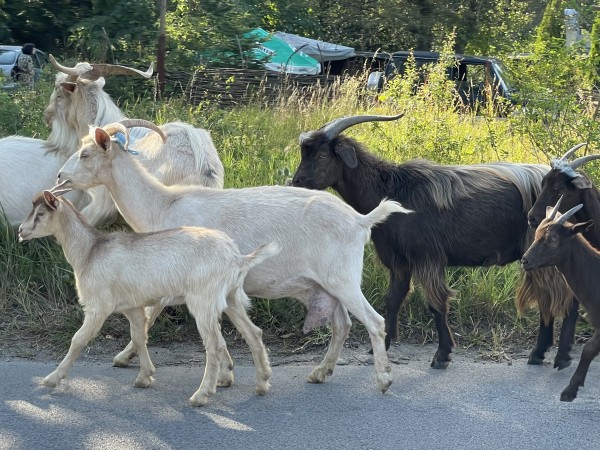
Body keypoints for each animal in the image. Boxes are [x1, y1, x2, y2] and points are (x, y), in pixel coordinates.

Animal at [18, 188, 278, 406]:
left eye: (40, 213)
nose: (21, 231)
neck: (90, 252)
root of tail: (237, 257)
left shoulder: (98, 306)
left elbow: (78, 339)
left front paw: (52, 378)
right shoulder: (132, 306)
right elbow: (139, 336)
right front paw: (145, 376)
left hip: (203, 300)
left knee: (214, 345)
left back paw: (201, 395)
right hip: (231, 298)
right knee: (253, 333)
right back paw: (262, 383)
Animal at [57, 120, 412, 394]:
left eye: (86, 154)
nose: (60, 177)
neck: (163, 205)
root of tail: (360, 220)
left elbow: (149, 316)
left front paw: (125, 357)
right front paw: (225, 373)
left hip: (343, 278)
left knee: (374, 322)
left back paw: (383, 379)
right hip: (325, 285)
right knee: (342, 324)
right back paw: (320, 372)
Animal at [294, 115, 572, 370]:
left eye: (321, 155)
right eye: (304, 153)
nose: (296, 182)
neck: (392, 191)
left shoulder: (427, 258)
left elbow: (436, 304)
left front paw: (442, 355)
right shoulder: (399, 262)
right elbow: (393, 299)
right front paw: (380, 347)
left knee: (554, 296)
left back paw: (542, 353)